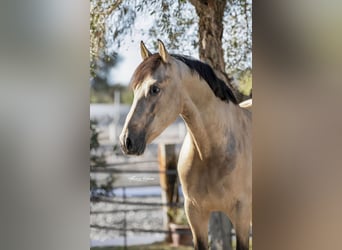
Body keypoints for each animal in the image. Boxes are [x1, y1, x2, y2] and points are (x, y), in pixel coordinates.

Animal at [120, 40, 251, 249]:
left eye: (154, 89)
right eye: (135, 89)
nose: (127, 141)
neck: (214, 153)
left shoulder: (241, 214)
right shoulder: (195, 213)